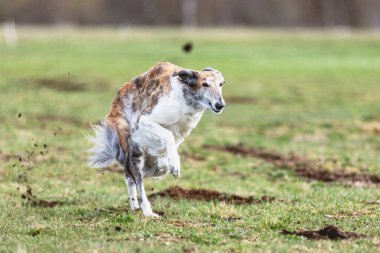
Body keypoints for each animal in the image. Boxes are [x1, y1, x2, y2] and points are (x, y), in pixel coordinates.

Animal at [88, 61, 226, 217]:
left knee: (132, 176)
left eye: (221, 83)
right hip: (133, 152)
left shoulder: (180, 132)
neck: (185, 102)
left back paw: (135, 206)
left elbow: (167, 150)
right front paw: (175, 165)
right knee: (134, 178)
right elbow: (167, 136)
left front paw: (167, 163)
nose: (220, 105)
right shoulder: (143, 120)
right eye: (205, 84)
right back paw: (147, 212)